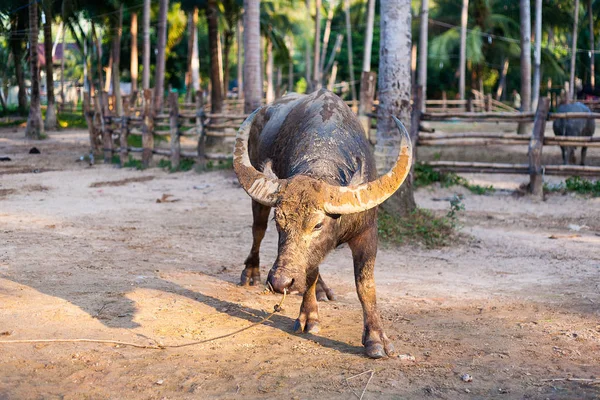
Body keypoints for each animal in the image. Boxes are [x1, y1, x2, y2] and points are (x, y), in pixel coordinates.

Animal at [231, 89, 412, 358]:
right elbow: (310, 272)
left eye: (317, 225)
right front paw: (309, 317)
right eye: (279, 221)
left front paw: (376, 339)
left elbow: (365, 285)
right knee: (257, 231)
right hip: (258, 202)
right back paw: (251, 273)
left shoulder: (368, 232)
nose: (280, 282)